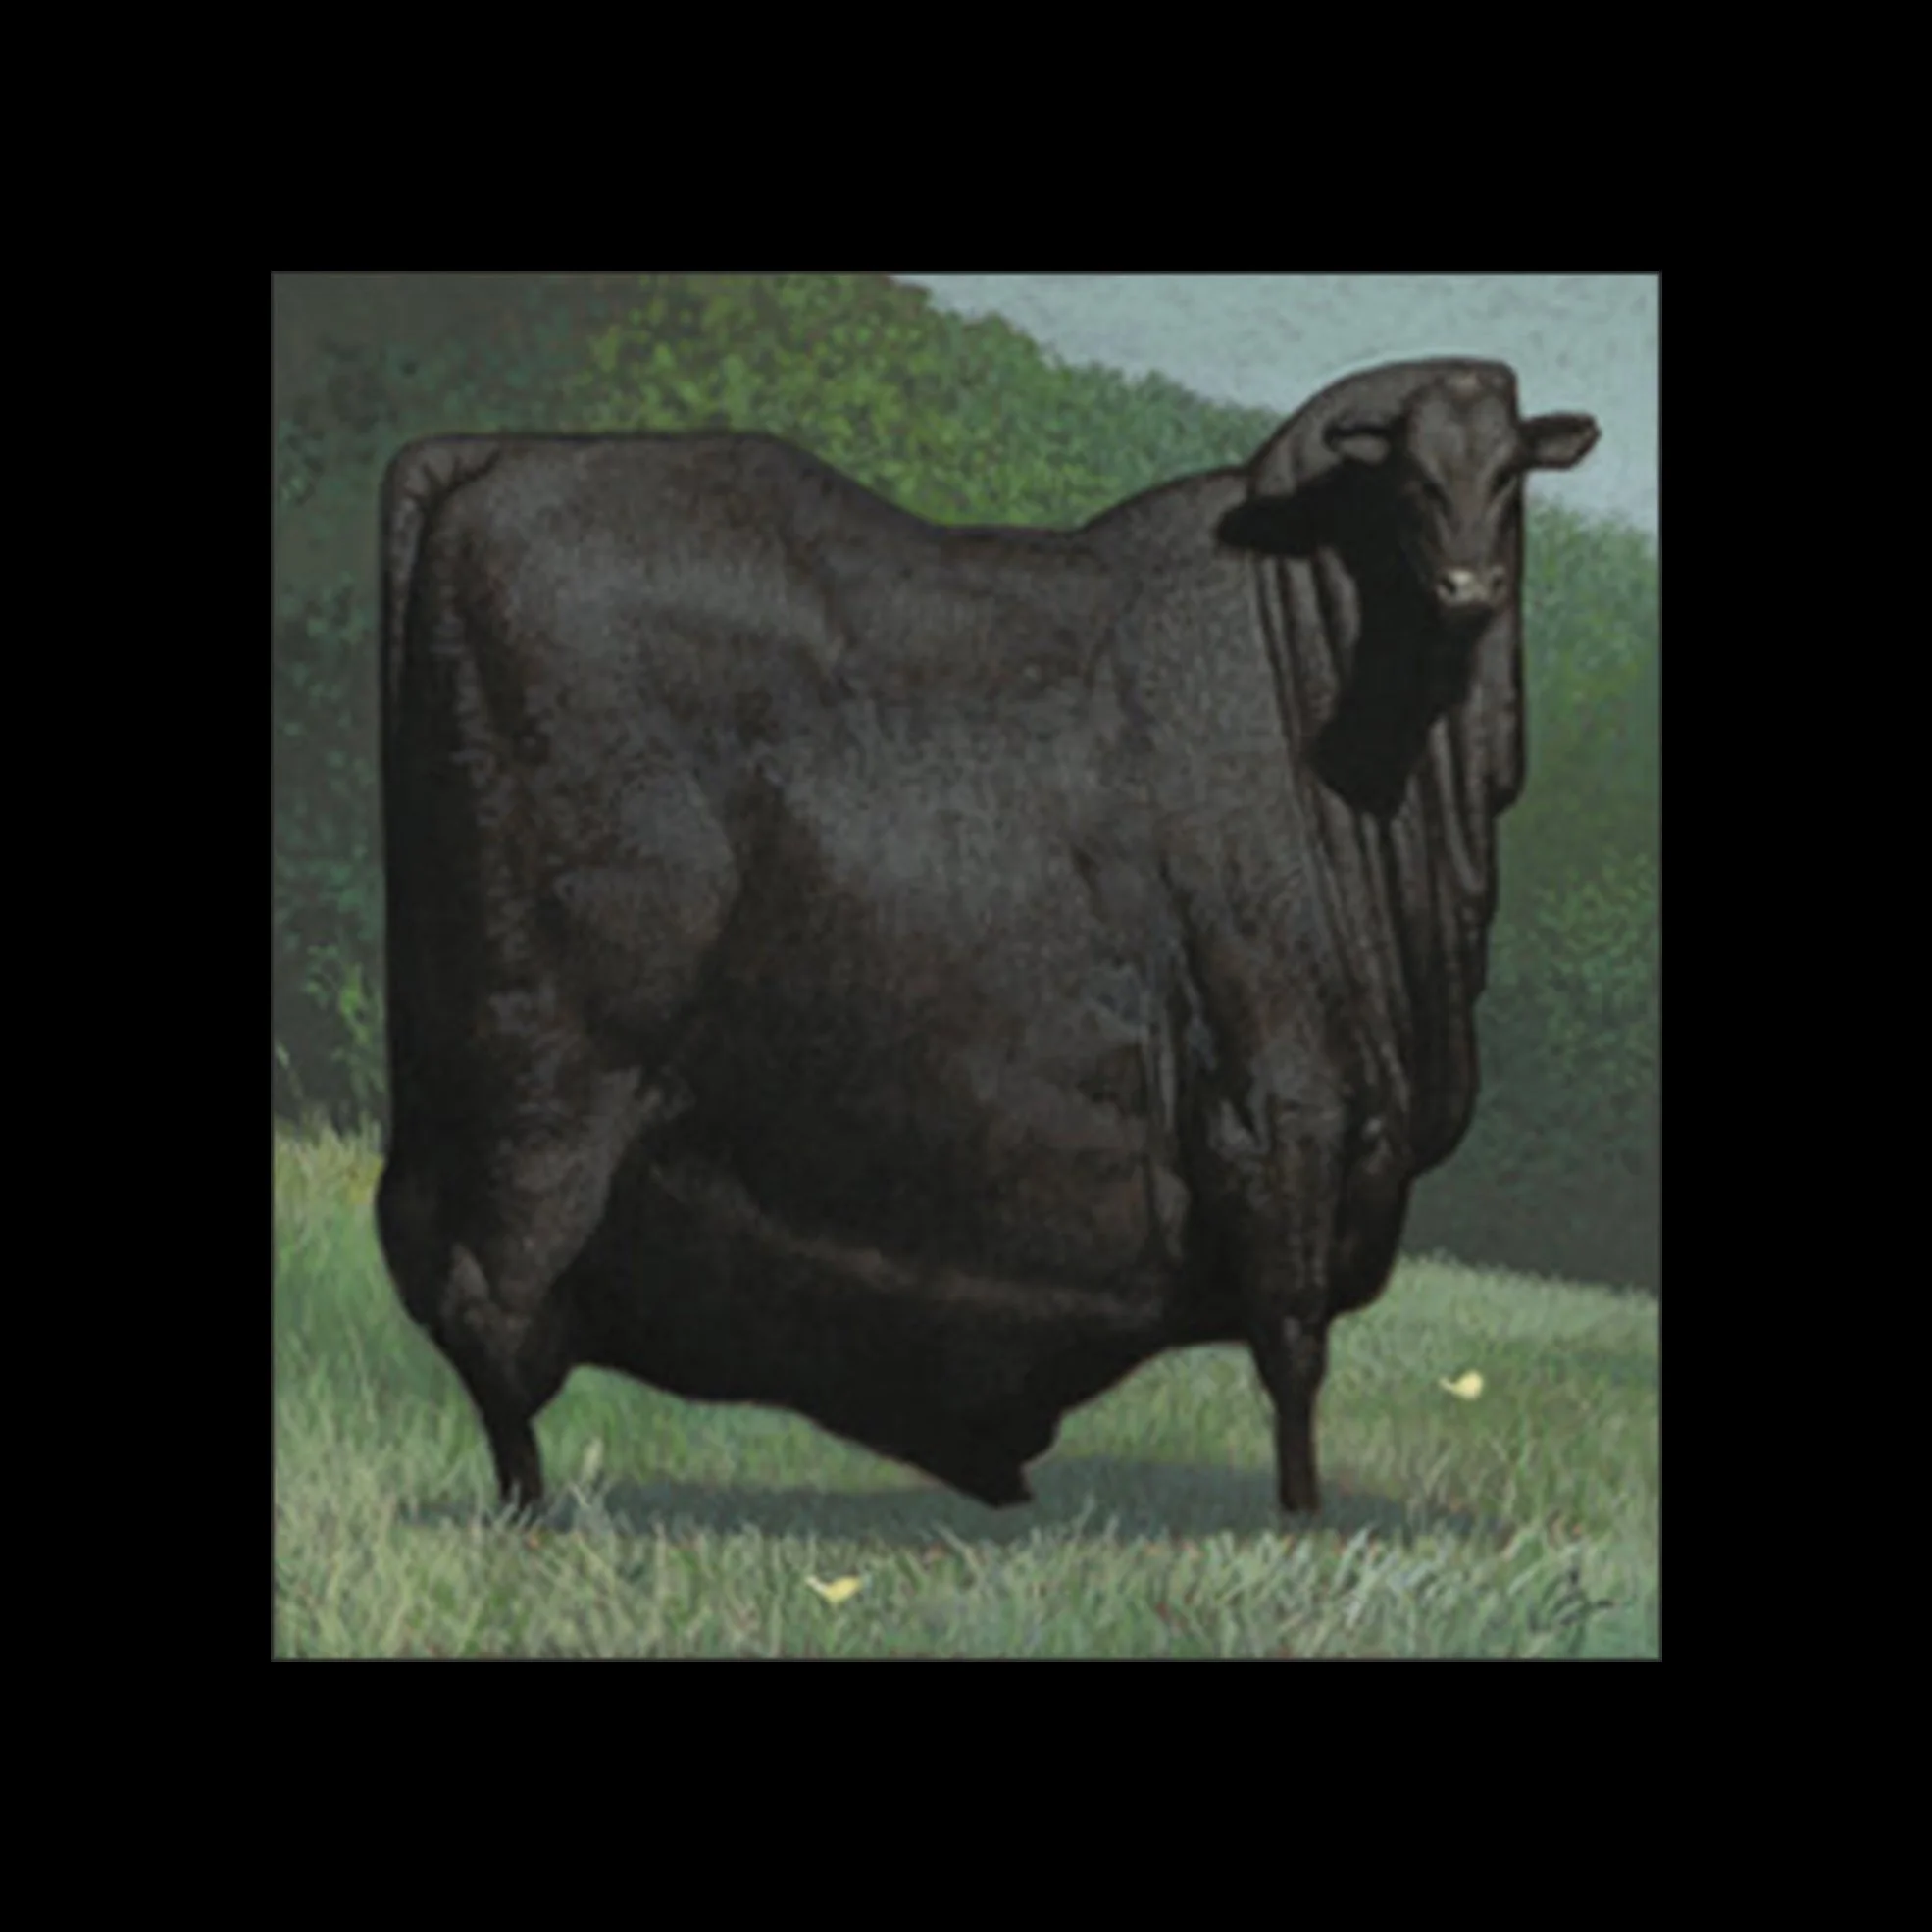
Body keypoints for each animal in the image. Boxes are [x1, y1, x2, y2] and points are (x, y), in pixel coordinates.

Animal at [374, 356, 1598, 1521]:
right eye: (1409, 480)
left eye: (1507, 475)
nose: (1467, 586)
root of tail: (497, 454)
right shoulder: (1285, 1103)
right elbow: (1292, 1341)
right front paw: (1299, 1518)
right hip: (550, 1075)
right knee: (488, 1302)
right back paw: (531, 1510)